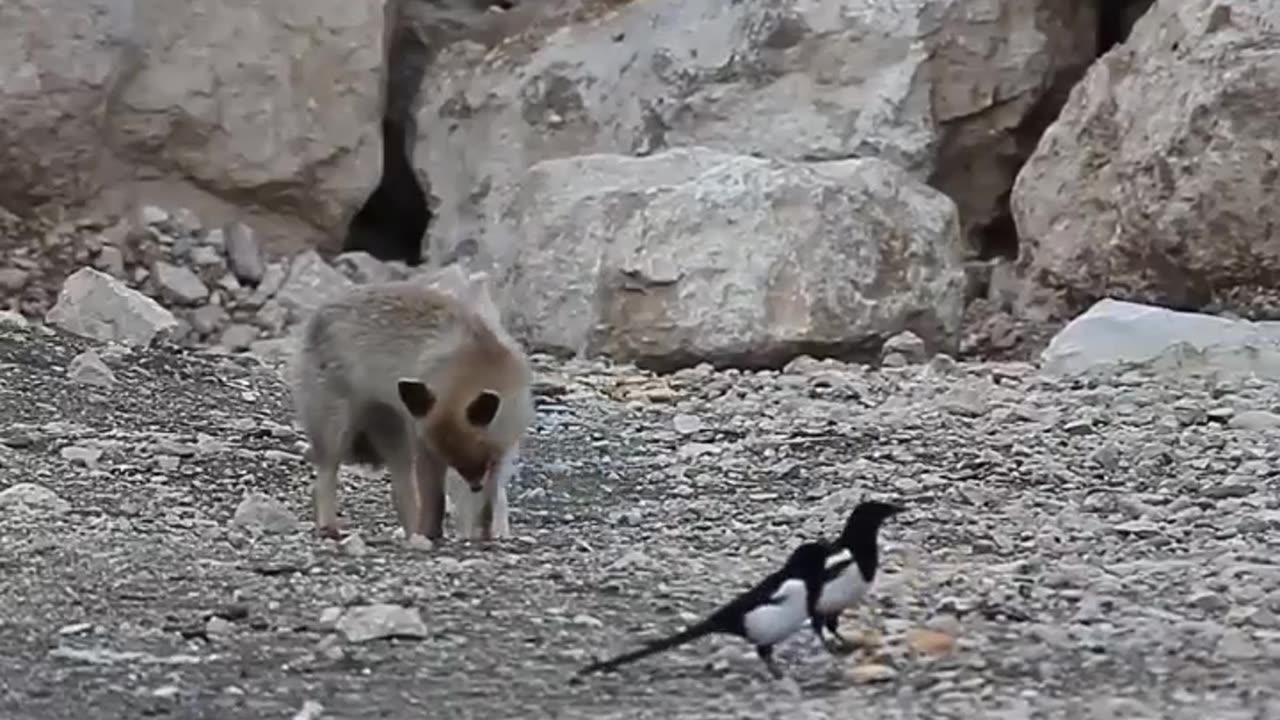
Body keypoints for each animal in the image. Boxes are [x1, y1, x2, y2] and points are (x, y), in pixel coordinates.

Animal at [288, 267, 532, 538]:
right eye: (454, 460)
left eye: (481, 457)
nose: (475, 485)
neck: (475, 365)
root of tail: (317, 313)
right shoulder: (426, 447)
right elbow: (436, 501)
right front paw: (432, 534)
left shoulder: (501, 453)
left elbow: (487, 509)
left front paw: (484, 536)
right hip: (338, 432)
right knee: (325, 478)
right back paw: (331, 525)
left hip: (395, 439)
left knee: (401, 495)